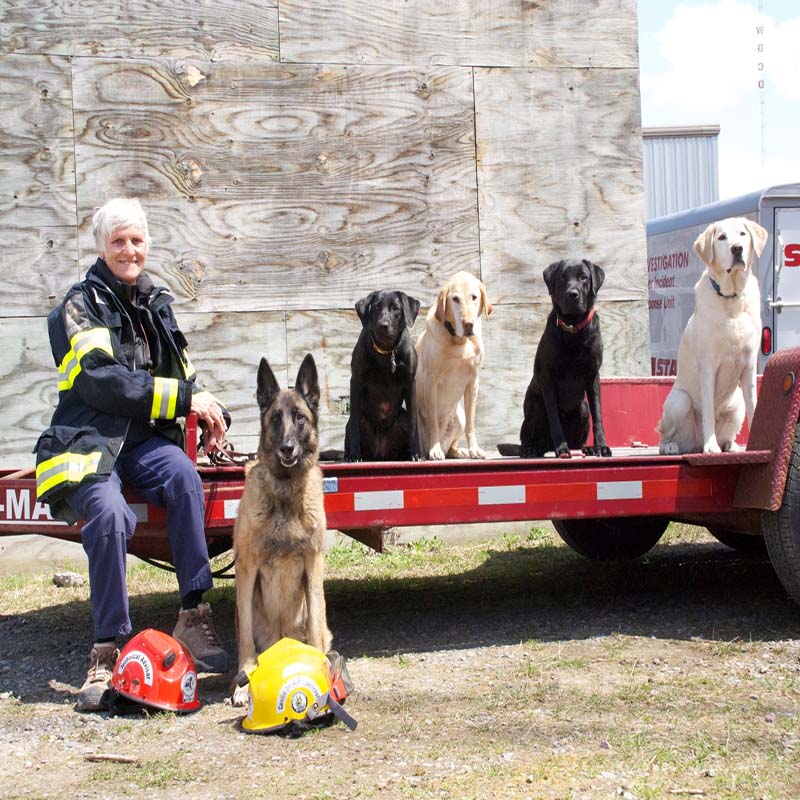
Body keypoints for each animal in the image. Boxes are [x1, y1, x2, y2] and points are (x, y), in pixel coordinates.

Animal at [231, 354, 332, 704]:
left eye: (299, 417)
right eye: (276, 418)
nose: (288, 448)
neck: (286, 491)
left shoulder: (313, 566)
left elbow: (315, 629)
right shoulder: (247, 569)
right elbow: (245, 638)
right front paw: (243, 683)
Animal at [344, 290, 422, 460]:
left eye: (395, 308)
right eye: (376, 307)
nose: (383, 325)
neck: (386, 351)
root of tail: (380, 452)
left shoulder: (410, 383)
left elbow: (415, 423)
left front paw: (417, 453)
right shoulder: (356, 381)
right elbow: (354, 425)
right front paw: (354, 455)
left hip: (402, 420)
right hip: (362, 420)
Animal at [416, 270, 490, 460]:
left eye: (474, 297)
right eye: (455, 299)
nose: (468, 324)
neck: (459, 341)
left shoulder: (473, 382)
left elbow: (471, 424)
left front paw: (474, 449)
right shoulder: (431, 382)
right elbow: (433, 423)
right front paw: (434, 450)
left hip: (459, 416)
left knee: (451, 445)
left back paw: (458, 451)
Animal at [520, 256, 612, 456]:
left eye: (584, 277)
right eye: (562, 277)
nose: (572, 294)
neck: (573, 328)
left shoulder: (593, 374)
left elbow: (598, 415)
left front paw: (601, 446)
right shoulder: (547, 378)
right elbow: (554, 418)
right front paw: (561, 448)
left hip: (582, 409)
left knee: (578, 439)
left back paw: (587, 448)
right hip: (535, 406)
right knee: (527, 439)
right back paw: (531, 450)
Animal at [656, 217, 768, 456]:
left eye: (743, 234)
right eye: (722, 237)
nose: (737, 248)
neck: (732, 299)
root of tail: (693, 444)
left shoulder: (749, 365)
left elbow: (755, 405)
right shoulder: (708, 366)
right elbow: (707, 411)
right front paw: (711, 446)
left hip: (737, 403)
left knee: (730, 429)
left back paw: (731, 445)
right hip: (680, 401)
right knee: (664, 434)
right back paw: (672, 446)